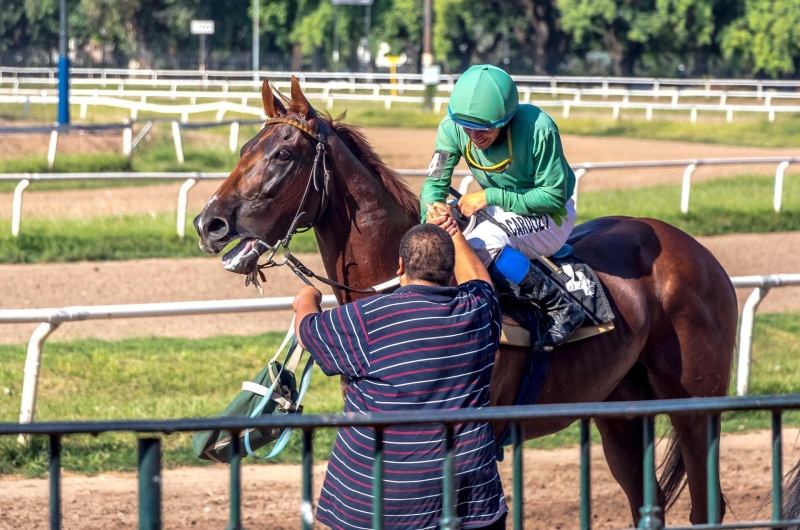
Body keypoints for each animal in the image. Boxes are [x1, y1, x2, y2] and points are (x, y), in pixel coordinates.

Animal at [194, 77, 736, 524]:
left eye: (283, 156)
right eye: (245, 147)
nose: (208, 223)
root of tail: (699, 252)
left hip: (694, 404)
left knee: (705, 504)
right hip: (620, 408)